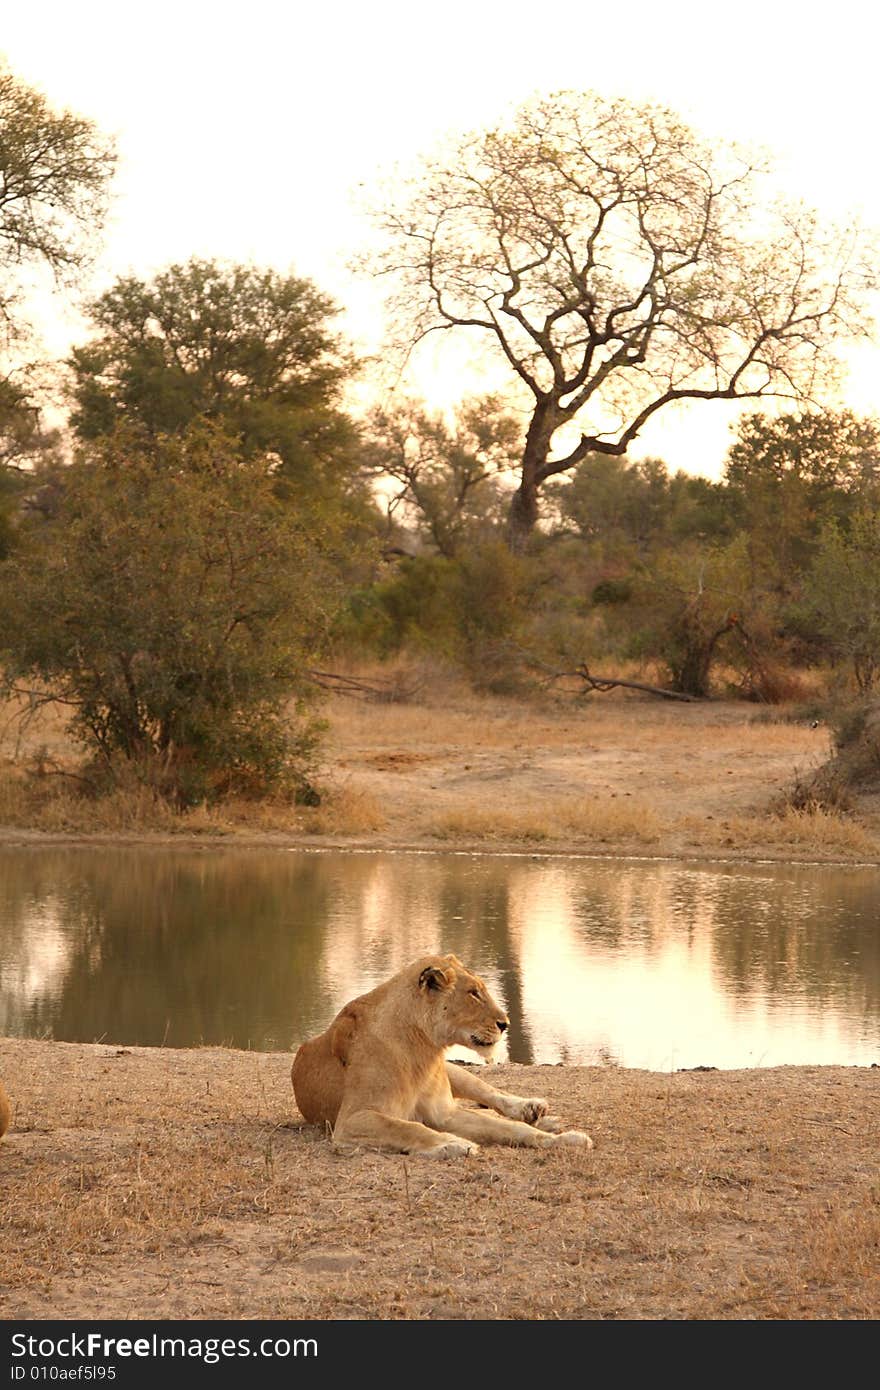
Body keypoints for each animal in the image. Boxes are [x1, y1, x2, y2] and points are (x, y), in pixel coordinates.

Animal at [291, 950, 595, 1156]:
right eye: (473, 993)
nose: (505, 1023)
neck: (422, 1048)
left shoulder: (444, 1113)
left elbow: (510, 1128)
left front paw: (564, 1140)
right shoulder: (353, 1118)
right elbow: (407, 1127)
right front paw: (453, 1143)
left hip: (456, 1071)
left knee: (492, 1096)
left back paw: (535, 1111)